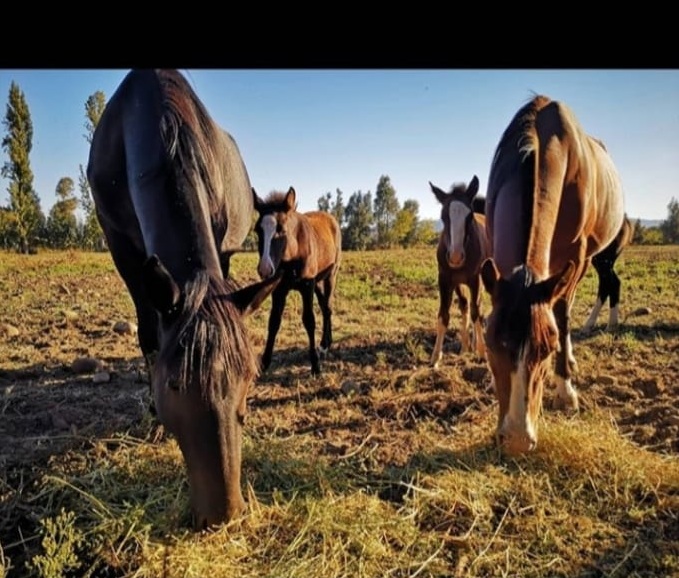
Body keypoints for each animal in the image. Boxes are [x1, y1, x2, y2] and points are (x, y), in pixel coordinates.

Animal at [87, 69, 279, 530]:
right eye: (174, 384)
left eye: (249, 379)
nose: (223, 513)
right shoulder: (122, 249)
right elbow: (148, 334)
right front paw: (154, 417)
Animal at [252, 186, 342, 376]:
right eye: (258, 230)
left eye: (281, 229)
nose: (265, 269)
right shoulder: (279, 289)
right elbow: (274, 321)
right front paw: (264, 362)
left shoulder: (307, 285)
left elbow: (309, 320)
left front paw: (315, 365)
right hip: (318, 282)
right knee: (325, 307)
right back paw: (325, 343)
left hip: (330, 275)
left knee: (328, 306)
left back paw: (324, 345)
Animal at [429, 175, 490, 368]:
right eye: (443, 216)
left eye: (469, 216)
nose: (455, 257)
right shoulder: (445, 279)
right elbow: (444, 315)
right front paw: (435, 357)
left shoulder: (475, 279)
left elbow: (476, 313)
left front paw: (482, 353)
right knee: (465, 305)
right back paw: (466, 346)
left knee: (477, 307)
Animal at [480, 94, 625, 455]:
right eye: (490, 344)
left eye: (546, 349)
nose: (517, 439)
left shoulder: (574, 258)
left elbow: (561, 315)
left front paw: (565, 389)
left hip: (593, 258)